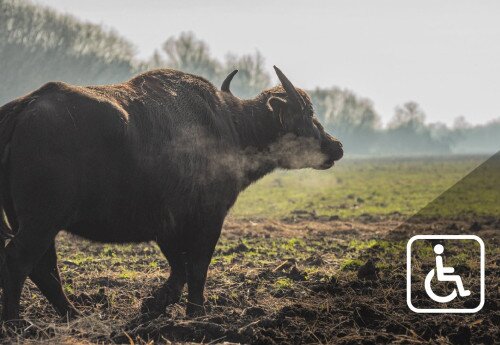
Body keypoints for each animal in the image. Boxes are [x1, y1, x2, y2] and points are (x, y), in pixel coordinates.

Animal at [0, 66, 342, 320]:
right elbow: (197, 267)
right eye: (308, 113)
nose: (336, 145)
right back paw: (16, 322)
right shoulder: (207, 218)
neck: (231, 129)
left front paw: (154, 303)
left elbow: (180, 268)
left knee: (44, 267)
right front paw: (196, 313)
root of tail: (24, 107)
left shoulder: (166, 226)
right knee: (19, 259)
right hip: (43, 218)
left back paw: (73, 314)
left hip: (29, 220)